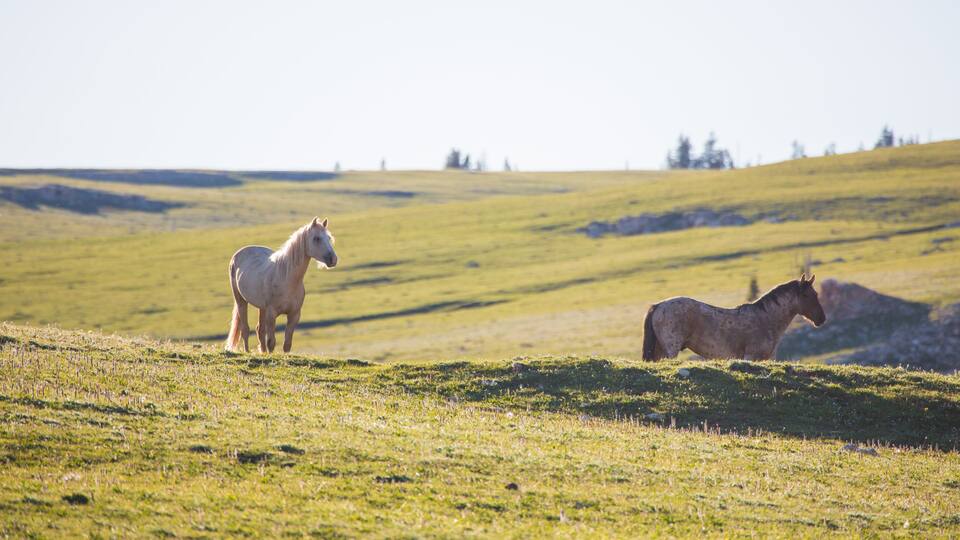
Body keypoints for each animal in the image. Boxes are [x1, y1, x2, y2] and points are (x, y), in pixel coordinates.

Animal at [225, 217, 338, 353]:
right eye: (317, 238)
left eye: (329, 238)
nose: (333, 259)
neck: (287, 279)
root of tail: (238, 254)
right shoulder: (271, 314)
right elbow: (271, 343)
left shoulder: (294, 315)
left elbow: (287, 344)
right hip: (241, 300)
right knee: (245, 329)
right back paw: (247, 351)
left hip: (262, 308)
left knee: (260, 330)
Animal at [642, 274, 825, 361]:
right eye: (807, 295)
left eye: (816, 294)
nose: (821, 318)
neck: (766, 319)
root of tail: (658, 305)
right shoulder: (751, 357)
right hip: (670, 350)